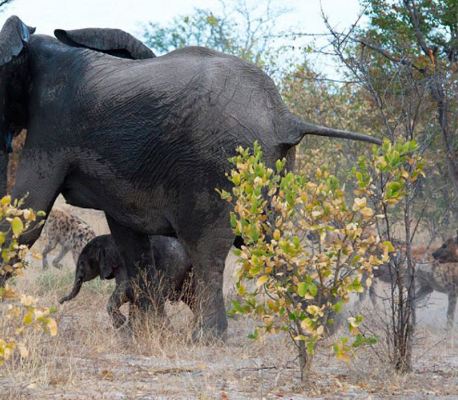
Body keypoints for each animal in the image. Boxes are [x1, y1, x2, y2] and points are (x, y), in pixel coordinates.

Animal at [58, 234, 194, 328]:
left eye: (82, 262)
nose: (59, 301)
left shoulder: (123, 264)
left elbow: (126, 288)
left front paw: (121, 323)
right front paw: (129, 326)